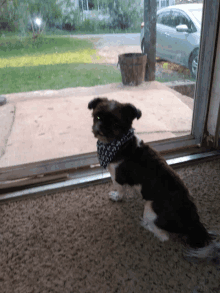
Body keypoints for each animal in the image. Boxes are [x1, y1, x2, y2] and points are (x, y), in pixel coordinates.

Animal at [88, 96, 220, 262]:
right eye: (98, 116)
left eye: (115, 123)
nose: (101, 127)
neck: (121, 144)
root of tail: (193, 221)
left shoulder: (117, 177)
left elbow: (119, 190)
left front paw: (116, 196)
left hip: (150, 208)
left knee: (163, 235)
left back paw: (145, 224)